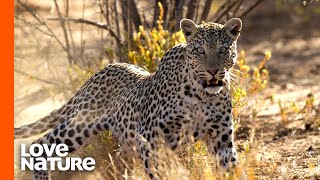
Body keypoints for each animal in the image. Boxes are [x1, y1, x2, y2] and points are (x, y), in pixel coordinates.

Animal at [13, 17, 241, 180]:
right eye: (200, 51)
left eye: (223, 50)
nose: (213, 71)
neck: (202, 96)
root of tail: (96, 74)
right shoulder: (150, 136)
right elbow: (159, 172)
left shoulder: (221, 137)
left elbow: (231, 167)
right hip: (79, 126)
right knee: (39, 144)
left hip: (127, 147)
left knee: (114, 165)